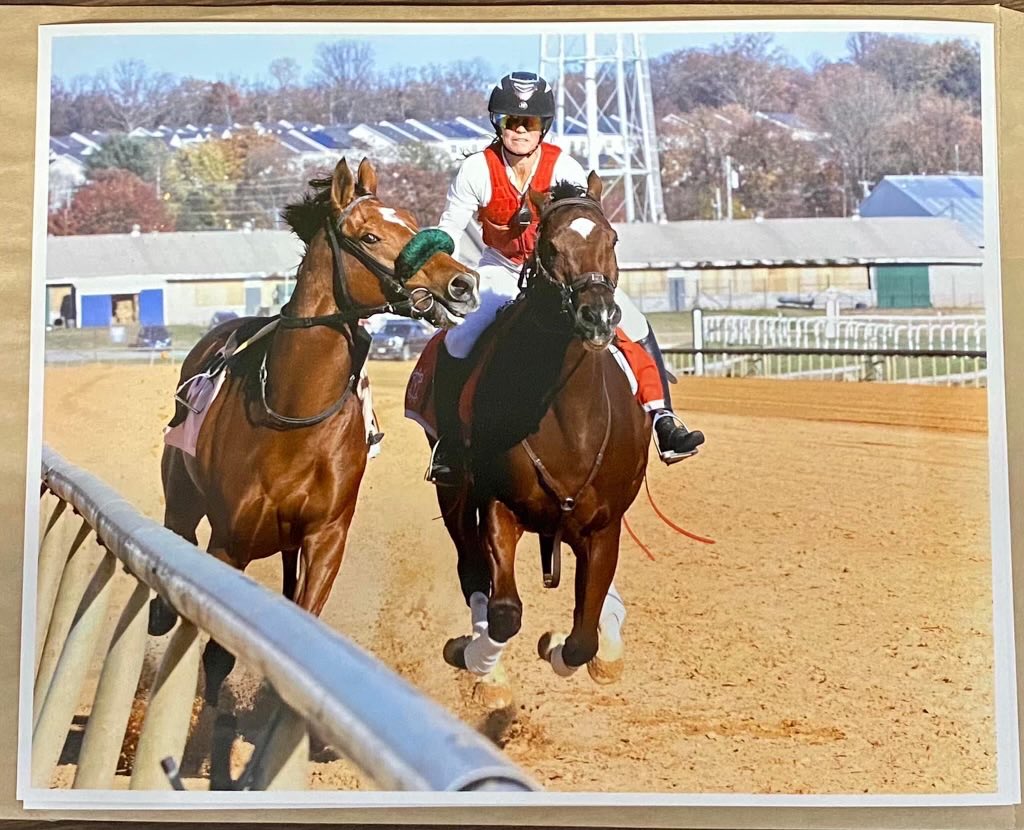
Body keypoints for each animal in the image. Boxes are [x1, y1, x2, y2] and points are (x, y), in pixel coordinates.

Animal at [152, 157, 480, 710]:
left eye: (414, 221)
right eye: (369, 236)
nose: (462, 282)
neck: (292, 411)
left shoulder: (326, 536)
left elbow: (305, 617)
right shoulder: (230, 540)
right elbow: (217, 654)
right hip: (182, 502)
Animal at [433, 173, 649, 705]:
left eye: (612, 239)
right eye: (552, 247)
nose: (598, 316)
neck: (568, 421)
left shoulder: (603, 528)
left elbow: (582, 637)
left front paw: (566, 646)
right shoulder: (498, 506)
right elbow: (504, 613)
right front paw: (478, 661)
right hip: (454, 497)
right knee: (472, 573)